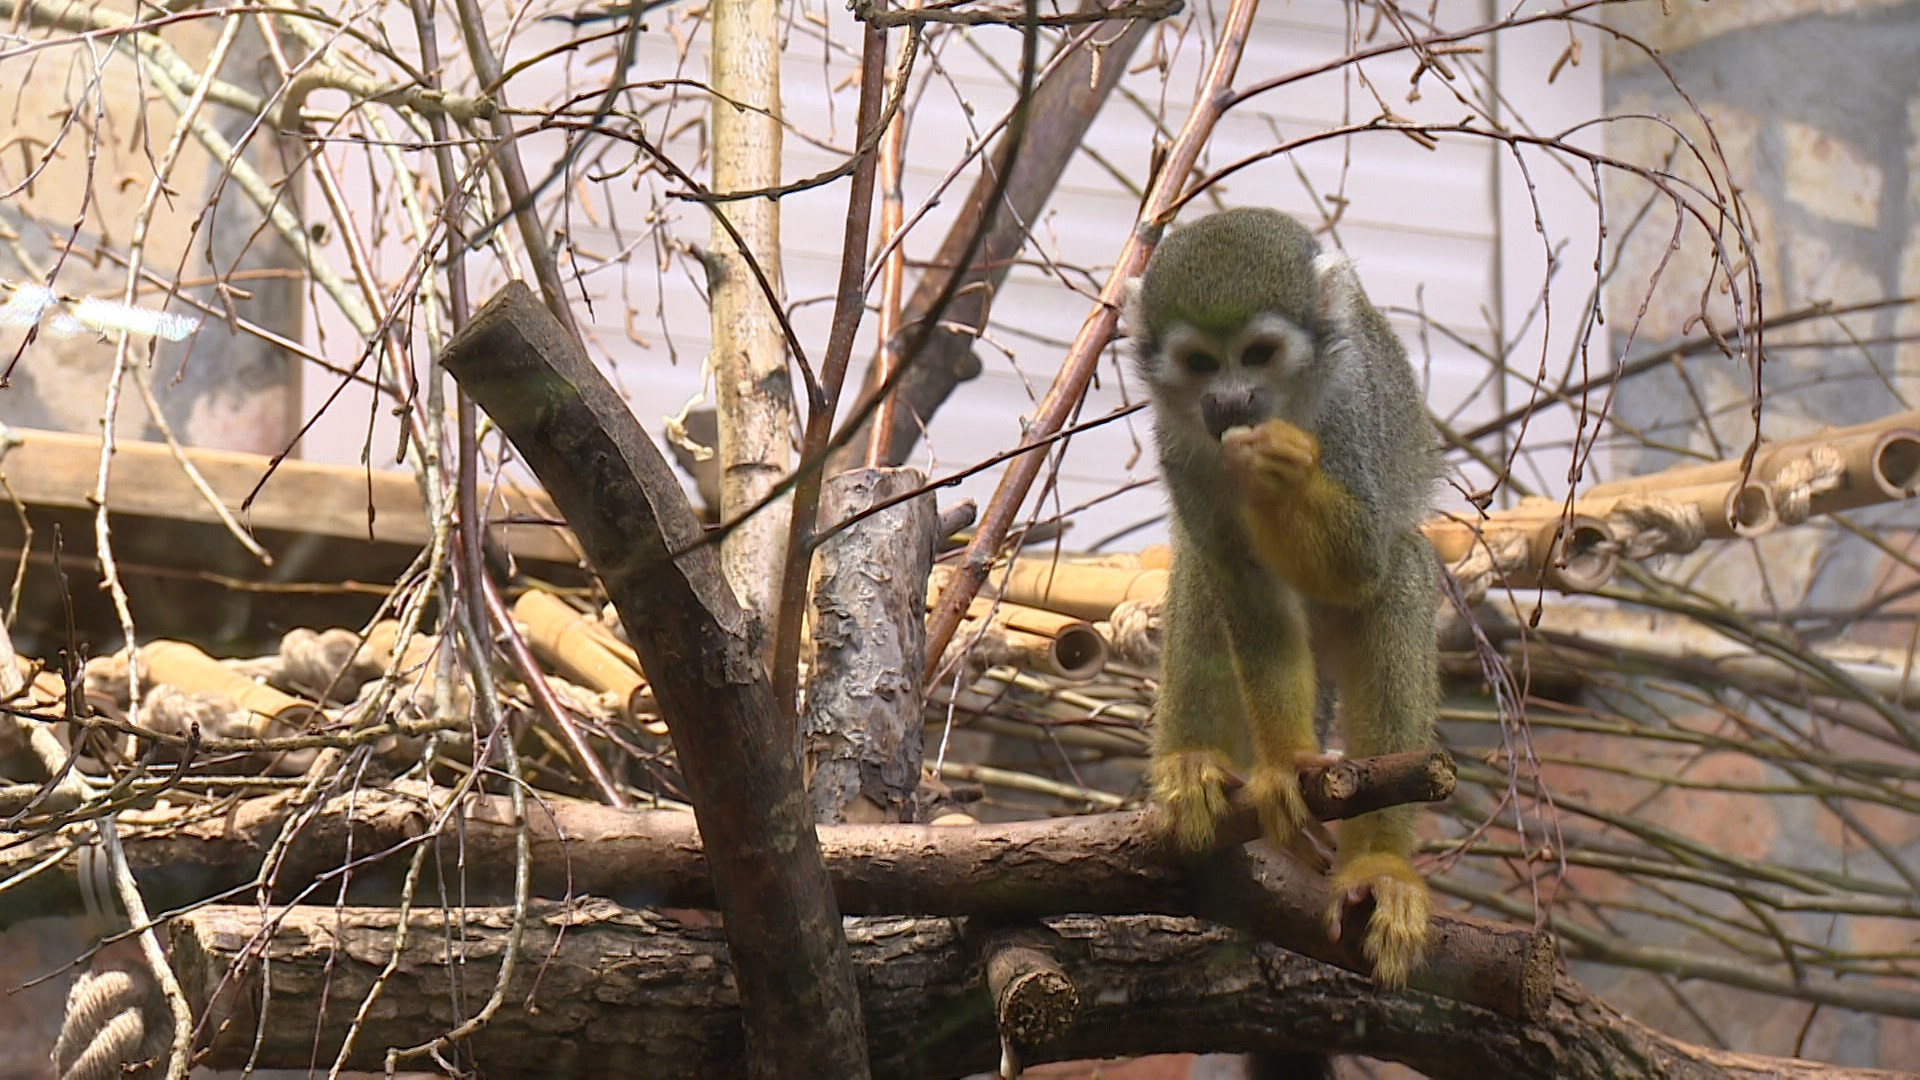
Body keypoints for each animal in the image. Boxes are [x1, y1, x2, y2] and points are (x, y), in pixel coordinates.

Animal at [1121, 205, 1443, 991]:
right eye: (1202, 363)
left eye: (1259, 353)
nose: (1231, 402)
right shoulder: (1177, 441)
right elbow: (1243, 584)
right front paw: (1289, 763)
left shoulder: (1351, 407)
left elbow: (1359, 564)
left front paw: (1279, 473)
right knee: (1202, 566)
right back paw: (1193, 764)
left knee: (1398, 571)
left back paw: (1378, 865)